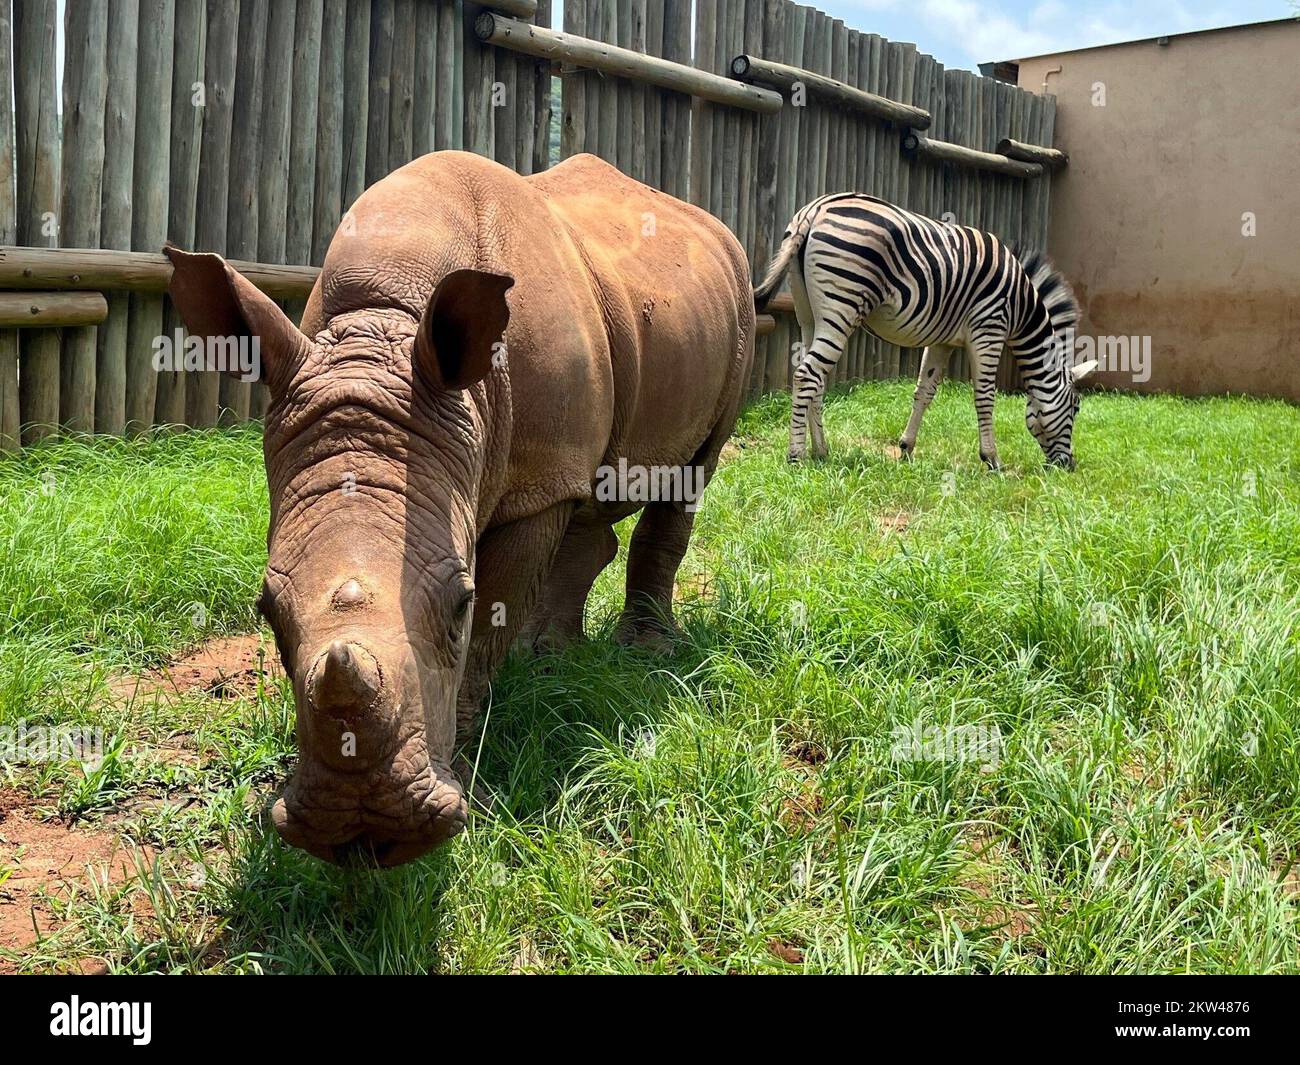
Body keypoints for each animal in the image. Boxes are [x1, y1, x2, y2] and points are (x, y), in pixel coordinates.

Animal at [754, 193, 1097, 468]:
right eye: (1076, 408)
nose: (1068, 466)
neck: (1021, 307)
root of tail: (815, 210)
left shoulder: (943, 341)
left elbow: (924, 392)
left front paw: (906, 449)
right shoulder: (989, 329)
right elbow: (985, 396)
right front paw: (992, 459)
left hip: (808, 313)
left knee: (815, 377)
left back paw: (821, 450)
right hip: (843, 306)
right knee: (807, 374)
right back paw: (796, 455)